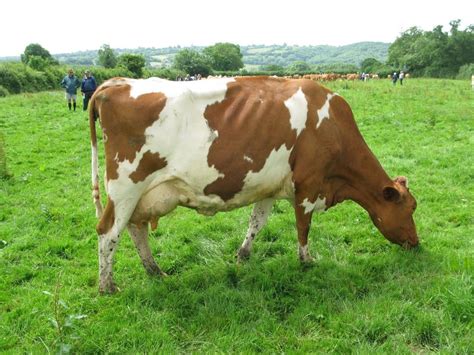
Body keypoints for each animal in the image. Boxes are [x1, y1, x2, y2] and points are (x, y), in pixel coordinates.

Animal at [89, 76, 418, 294]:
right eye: (410, 209)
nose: (416, 243)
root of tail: (114, 83)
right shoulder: (308, 185)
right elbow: (303, 227)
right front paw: (306, 261)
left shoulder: (270, 188)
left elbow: (257, 223)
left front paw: (243, 257)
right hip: (126, 187)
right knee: (108, 232)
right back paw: (107, 286)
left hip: (143, 195)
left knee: (135, 228)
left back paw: (156, 272)